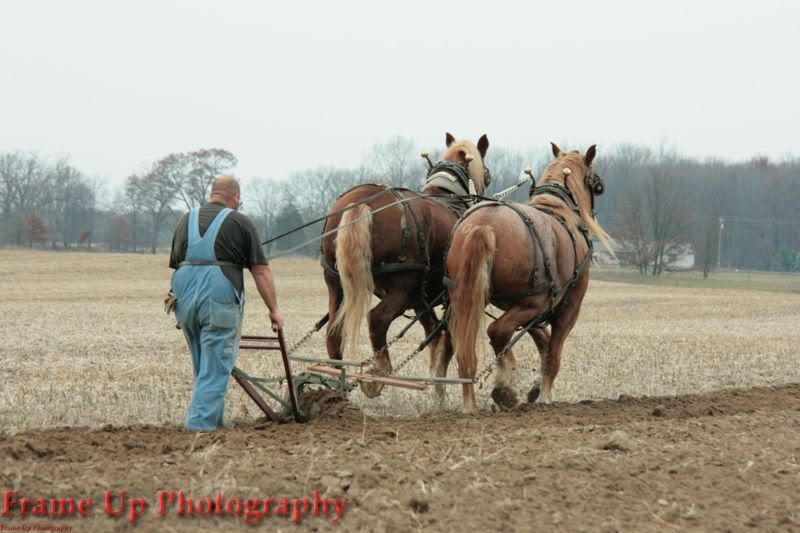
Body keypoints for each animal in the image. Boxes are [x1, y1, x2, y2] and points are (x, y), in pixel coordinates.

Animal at [322, 133, 490, 400]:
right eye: (486, 172)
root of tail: (360, 203)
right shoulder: (447, 298)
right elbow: (447, 339)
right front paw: (439, 389)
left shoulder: (421, 299)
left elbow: (434, 335)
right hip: (400, 289)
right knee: (377, 319)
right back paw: (380, 371)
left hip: (336, 285)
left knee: (333, 333)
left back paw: (339, 390)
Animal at [444, 142, 612, 412]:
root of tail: (483, 225)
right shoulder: (567, 308)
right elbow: (553, 354)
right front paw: (544, 395)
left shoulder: (534, 309)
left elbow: (542, 341)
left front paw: (535, 388)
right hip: (533, 302)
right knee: (497, 331)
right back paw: (506, 384)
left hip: (466, 299)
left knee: (466, 349)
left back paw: (472, 401)